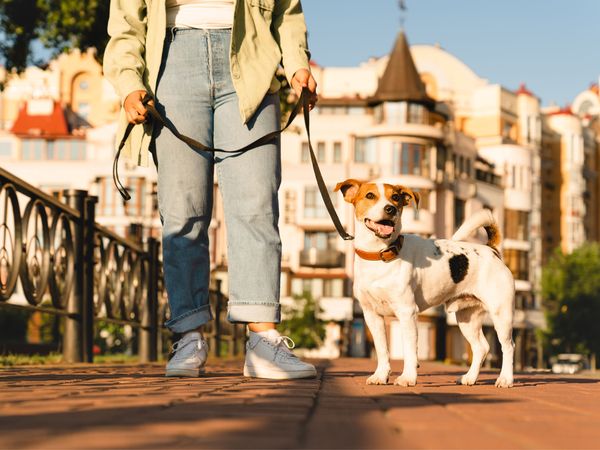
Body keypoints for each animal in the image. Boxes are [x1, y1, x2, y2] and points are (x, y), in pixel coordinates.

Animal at [336, 178, 512, 386]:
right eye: (370, 195)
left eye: (395, 198)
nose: (390, 209)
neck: (380, 255)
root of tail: (491, 250)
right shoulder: (372, 315)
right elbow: (382, 350)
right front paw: (381, 375)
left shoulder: (407, 313)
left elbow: (410, 351)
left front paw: (408, 377)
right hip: (467, 318)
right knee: (481, 347)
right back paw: (469, 378)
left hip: (501, 314)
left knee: (508, 346)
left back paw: (505, 379)